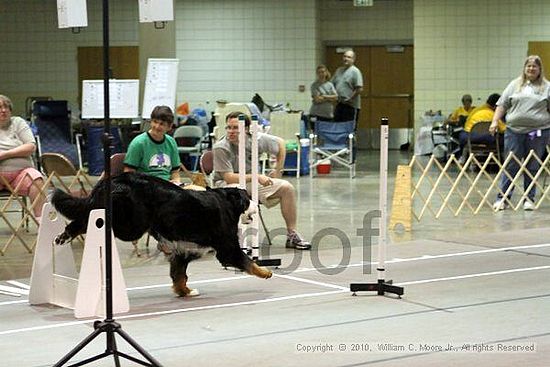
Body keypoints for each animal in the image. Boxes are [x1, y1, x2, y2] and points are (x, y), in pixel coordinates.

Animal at [52, 174, 272, 298]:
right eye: (247, 199)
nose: (257, 204)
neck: (226, 203)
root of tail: (112, 180)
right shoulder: (226, 247)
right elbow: (246, 260)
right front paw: (265, 272)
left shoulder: (183, 251)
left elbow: (179, 275)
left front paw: (185, 292)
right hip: (130, 224)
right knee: (86, 219)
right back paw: (65, 236)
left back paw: (62, 237)